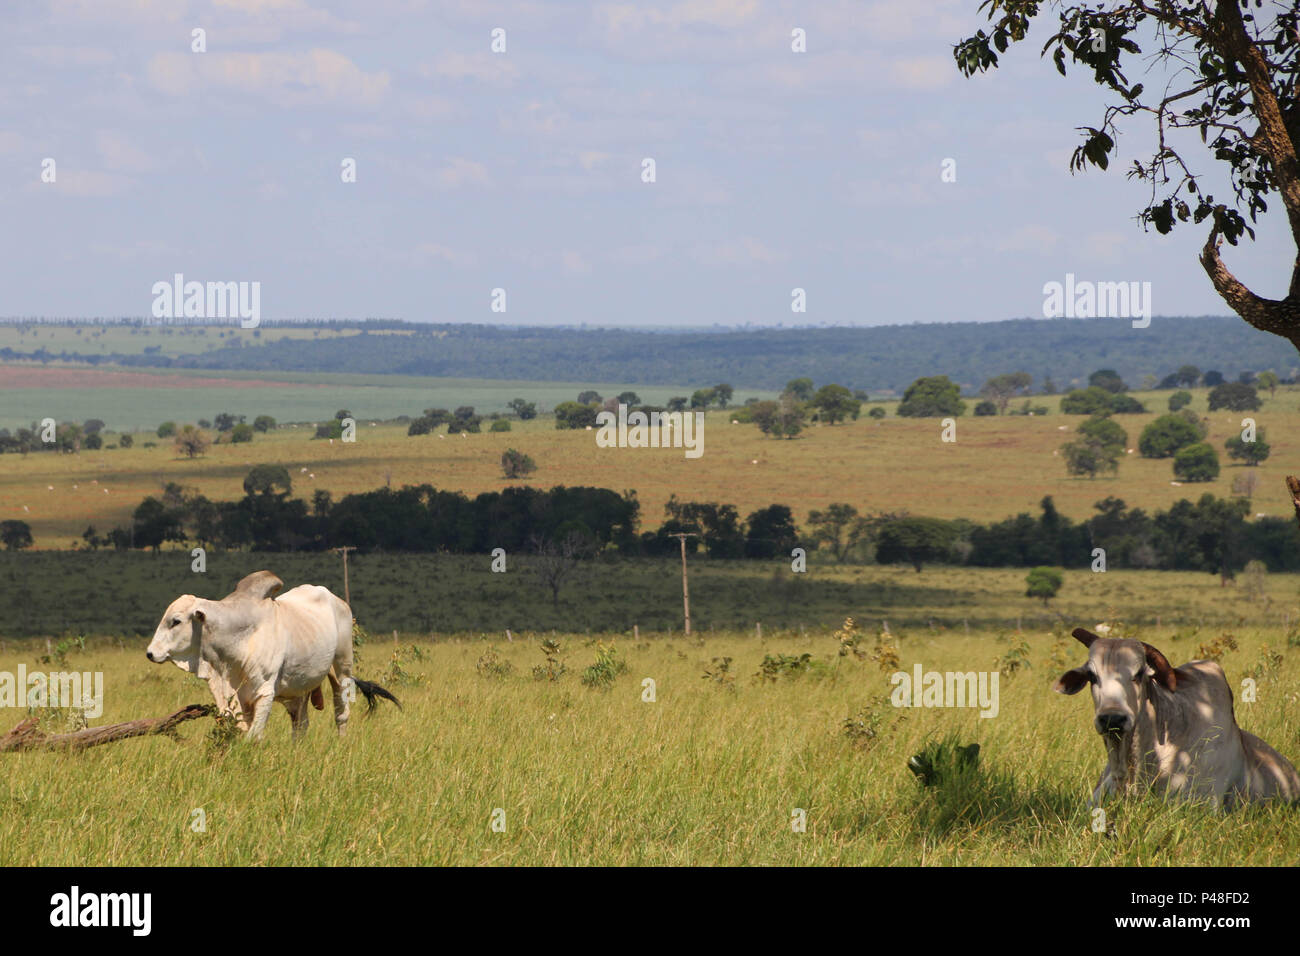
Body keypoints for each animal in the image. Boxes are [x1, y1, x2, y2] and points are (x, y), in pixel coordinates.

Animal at [146, 567, 395, 738]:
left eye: (176, 621)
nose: (150, 653)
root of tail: (339, 602)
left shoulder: (264, 692)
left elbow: (254, 736)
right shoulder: (238, 697)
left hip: (342, 669)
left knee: (341, 714)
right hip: (302, 685)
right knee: (300, 724)